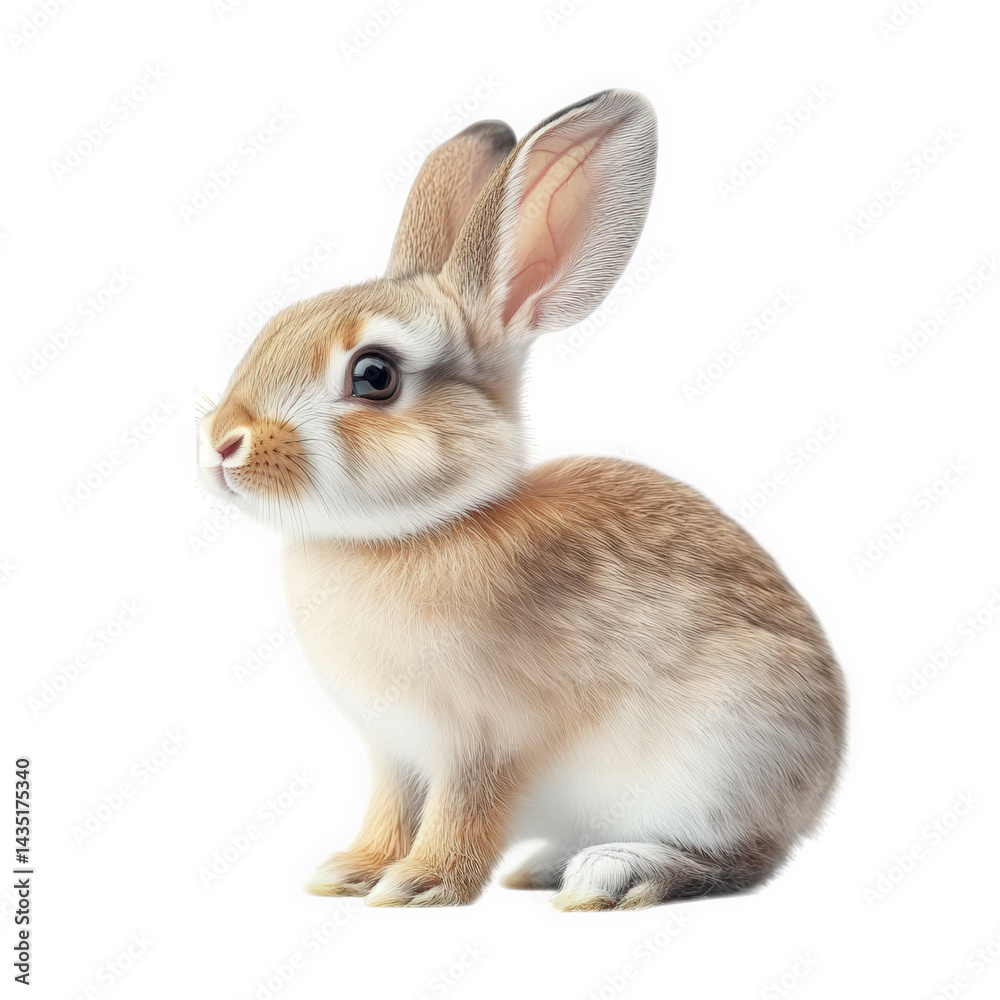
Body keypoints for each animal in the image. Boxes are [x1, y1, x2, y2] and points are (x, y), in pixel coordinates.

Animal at [197, 89, 847, 910]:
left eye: (373, 375)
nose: (221, 445)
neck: (419, 531)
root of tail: (820, 784)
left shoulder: (482, 740)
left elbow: (461, 813)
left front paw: (421, 885)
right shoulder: (393, 750)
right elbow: (390, 809)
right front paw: (351, 870)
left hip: (724, 756)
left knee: (744, 858)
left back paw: (615, 872)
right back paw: (545, 866)